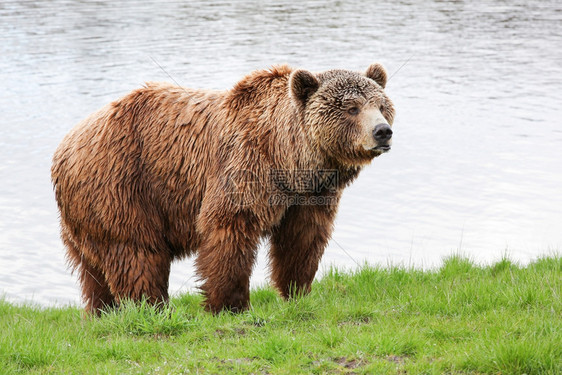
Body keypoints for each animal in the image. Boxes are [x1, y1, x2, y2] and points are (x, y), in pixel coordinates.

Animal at [51, 64, 394, 314]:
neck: (290, 157)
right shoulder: (245, 166)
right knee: (136, 252)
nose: (383, 131)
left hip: (85, 214)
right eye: (351, 108)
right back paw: (152, 307)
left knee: (94, 271)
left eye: (381, 105)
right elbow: (229, 228)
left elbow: (302, 240)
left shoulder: (309, 196)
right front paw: (230, 305)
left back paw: (103, 311)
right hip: (120, 185)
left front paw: (297, 291)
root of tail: (65, 146)